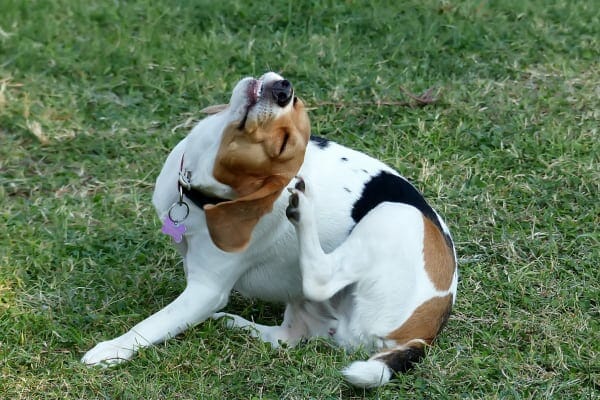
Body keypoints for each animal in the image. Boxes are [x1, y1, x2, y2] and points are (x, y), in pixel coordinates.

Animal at [82, 71, 458, 388]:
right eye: (295, 101)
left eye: (281, 145)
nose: (283, 90)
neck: (200, 194)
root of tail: (423, 333)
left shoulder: (206, 290)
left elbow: (153, 323)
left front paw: (112, 350)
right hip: (307, 310)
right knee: (286, 338)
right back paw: (232, 323)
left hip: (395, 215)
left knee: (320, 278)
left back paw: (302, 209)